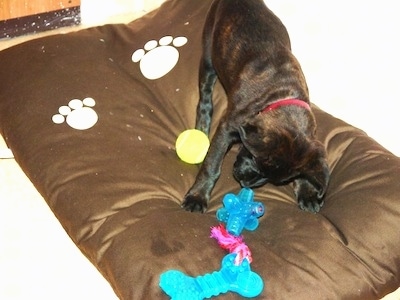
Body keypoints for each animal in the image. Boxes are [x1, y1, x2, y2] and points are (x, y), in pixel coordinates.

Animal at [181, 0, 328, 213]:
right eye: (257, 160)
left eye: (280, 180)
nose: (244, 183)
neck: (281, 97)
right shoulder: (226, 128)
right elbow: (212, 165)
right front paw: (197, 196)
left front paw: (307, 192)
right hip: (208, 56)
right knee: (205, 99)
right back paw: (201, 129)